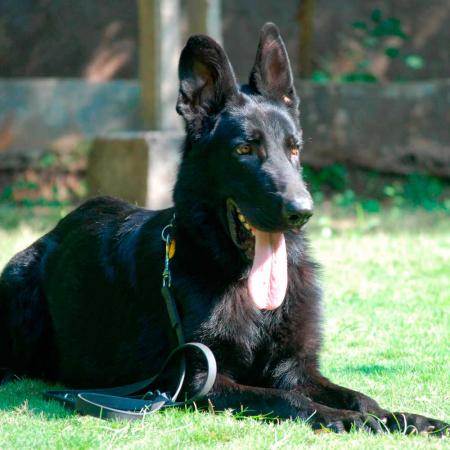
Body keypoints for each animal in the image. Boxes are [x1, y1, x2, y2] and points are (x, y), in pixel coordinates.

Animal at [0, 22, 448, 434]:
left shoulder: (296, 368)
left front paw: (402, 417)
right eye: (244, 149)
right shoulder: (200, 380)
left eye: (294, 149)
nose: (302, 211)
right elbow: (290, 399)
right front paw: (343, 418)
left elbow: (360, 395)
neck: (242, 283)